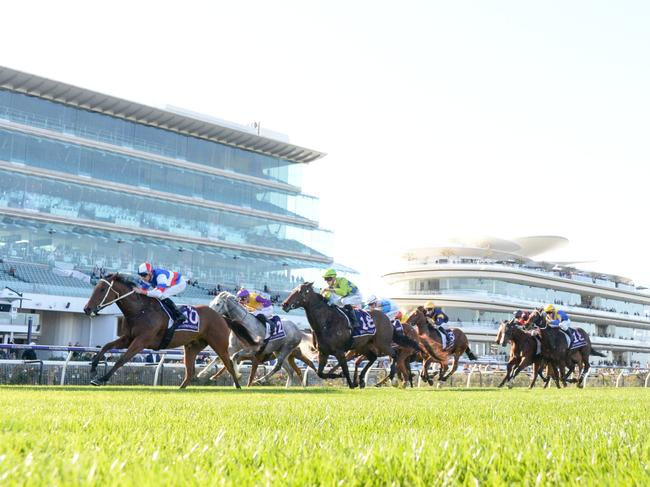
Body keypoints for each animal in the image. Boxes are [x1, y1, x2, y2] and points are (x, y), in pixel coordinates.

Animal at [81, 274, 243, 388]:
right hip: (192, 346)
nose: (87, 309)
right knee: (190, 371)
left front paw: (102, 379)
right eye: (95, 288)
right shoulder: (128, 338)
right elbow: (106, 346)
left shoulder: (141, 341)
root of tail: (221, 316)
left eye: (102, 289)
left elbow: (122, 359)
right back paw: (180, 389)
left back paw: (238, 387)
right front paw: (94, 367)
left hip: (219, 344)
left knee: (229, 364)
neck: (140, 310)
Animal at [280, 282, 420, 388]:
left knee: (395, 356)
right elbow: (321, 373)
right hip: (366, 346)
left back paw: (393, 378)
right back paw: (364, 379)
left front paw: (351, 383)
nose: (284, 304)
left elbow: (346, 369)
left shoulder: (340, 351)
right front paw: (341, 376)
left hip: (383, 344)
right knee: (374, 358)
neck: (327, 322)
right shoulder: (323, 352)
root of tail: (388, 320)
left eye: (300, 291)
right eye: (293, 290)